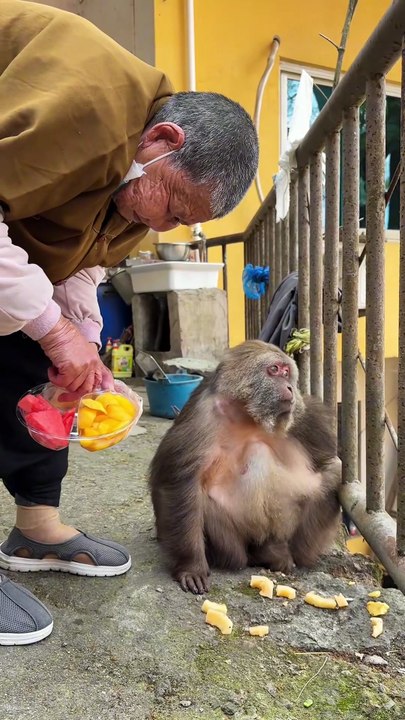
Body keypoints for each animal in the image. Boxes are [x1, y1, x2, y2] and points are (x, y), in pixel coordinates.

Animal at [149, 340, 342, 594]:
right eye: (274, 370)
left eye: (286, 372)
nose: (290, 387)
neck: (246, 414)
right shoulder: (200, 419)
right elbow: (179, 482)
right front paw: (191, 566)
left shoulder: (297, 418)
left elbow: (324, 458)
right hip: (232, 544)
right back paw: (255, 554)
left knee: (333, 473)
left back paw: (275, 552)